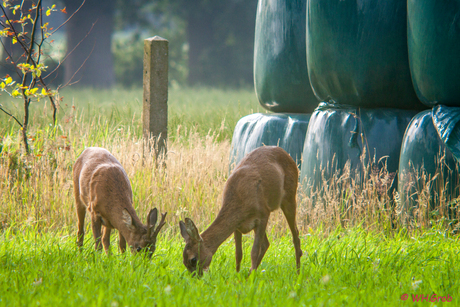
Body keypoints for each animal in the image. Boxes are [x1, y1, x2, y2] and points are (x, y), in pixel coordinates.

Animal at [179, 147, 302, 276]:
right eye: (183, 262)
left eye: (193, 259)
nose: (196, 277)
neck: (240, 201)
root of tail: (287, 155)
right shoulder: (237, 226)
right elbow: (238, 254)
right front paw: (238, 275)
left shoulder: (264, 213)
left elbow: (254, 251)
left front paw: (250, 277)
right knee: (266, 244)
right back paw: (250, 273)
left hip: (289, 197)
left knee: (295, 235)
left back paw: (298, 271)